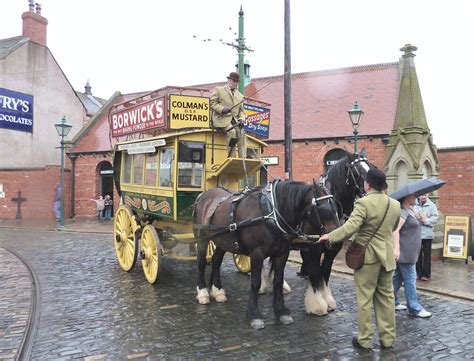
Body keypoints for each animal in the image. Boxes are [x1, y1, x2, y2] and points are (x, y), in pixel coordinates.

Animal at [193, 179, 340, 328]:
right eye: (322, 208)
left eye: (336, 206)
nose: (336, 242)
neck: (271, 214)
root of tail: (204, 194)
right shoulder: (257, 254)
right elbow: (255, 283)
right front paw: (254, 314)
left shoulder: (282, 254)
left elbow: (278, 281)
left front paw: (281, 311)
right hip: (202, 238)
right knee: (201, 263)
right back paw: (203, 293)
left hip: (222, 241)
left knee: (216, 260)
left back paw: (218, 291)